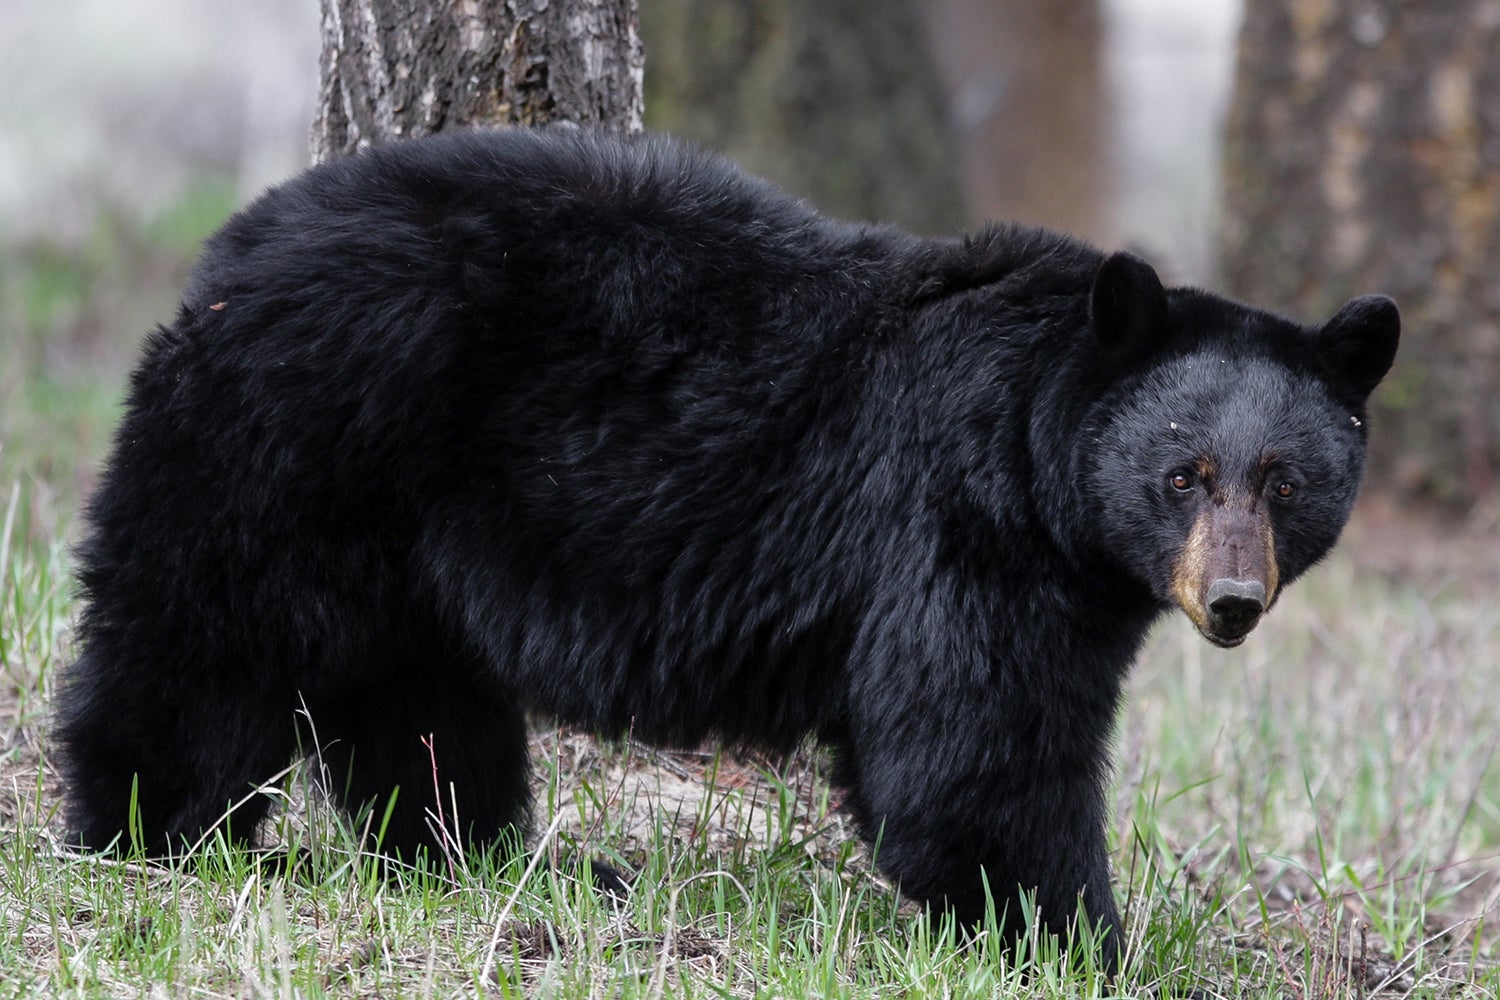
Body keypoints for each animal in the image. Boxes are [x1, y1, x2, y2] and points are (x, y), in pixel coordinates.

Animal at [53, 127, 1399, 969]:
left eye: (1286, 480)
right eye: (1185, 474)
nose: (1232, 600)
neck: (1036, 450)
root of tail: (231, 249)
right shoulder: (960, 534)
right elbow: (977, 755)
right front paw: (1077, 939)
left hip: (400, 531)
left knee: (418, 696)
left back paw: (481, 856)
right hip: (297, 435)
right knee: (199, 635)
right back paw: (144, 834)